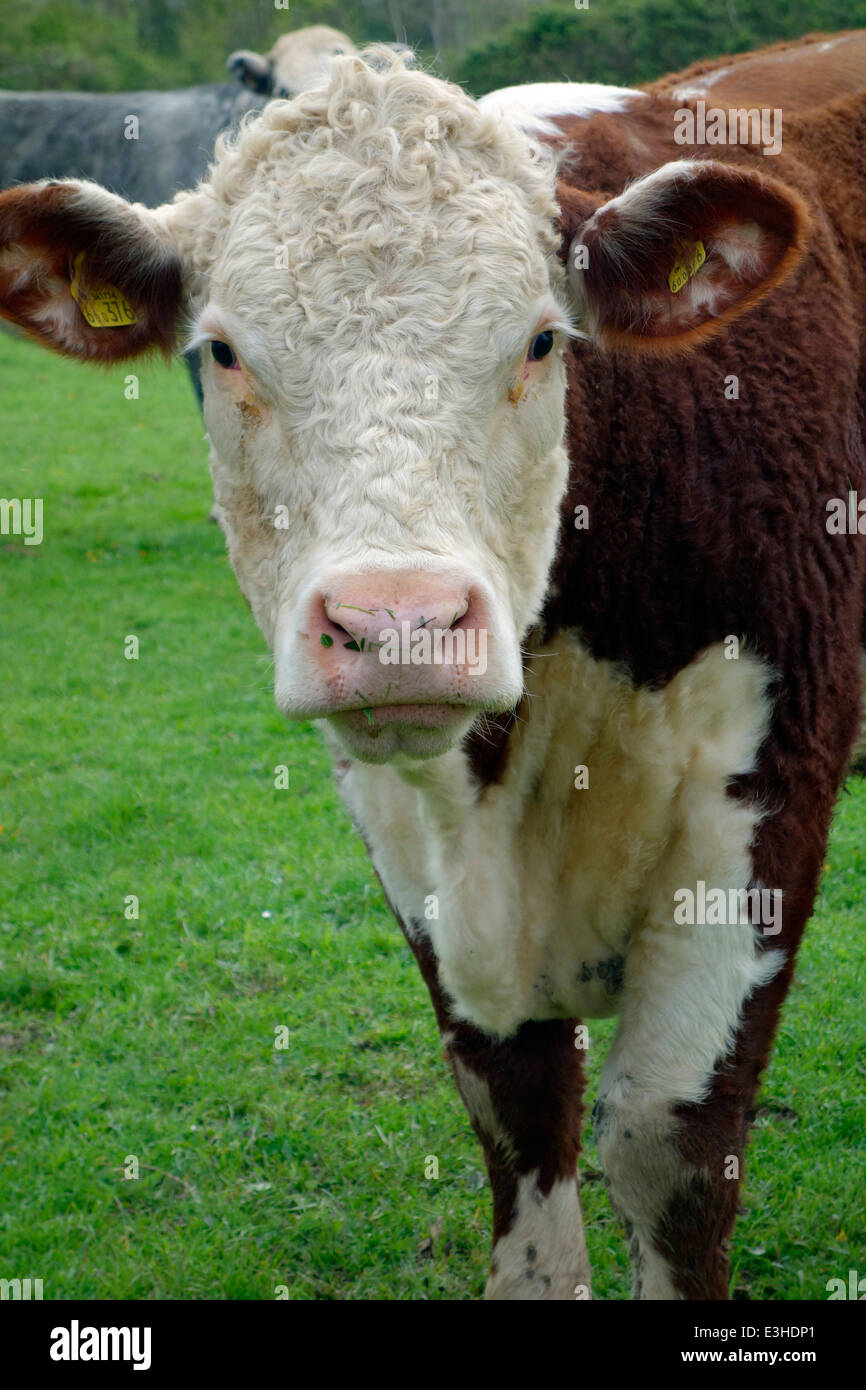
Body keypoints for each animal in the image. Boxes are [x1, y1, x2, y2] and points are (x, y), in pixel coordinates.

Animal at [1, 41, 864, 1300]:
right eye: (221, 350)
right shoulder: (405, 831)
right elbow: (520, 1109)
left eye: (542, 340)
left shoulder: (766, 781)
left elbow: (669, 1142)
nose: (399, 622)